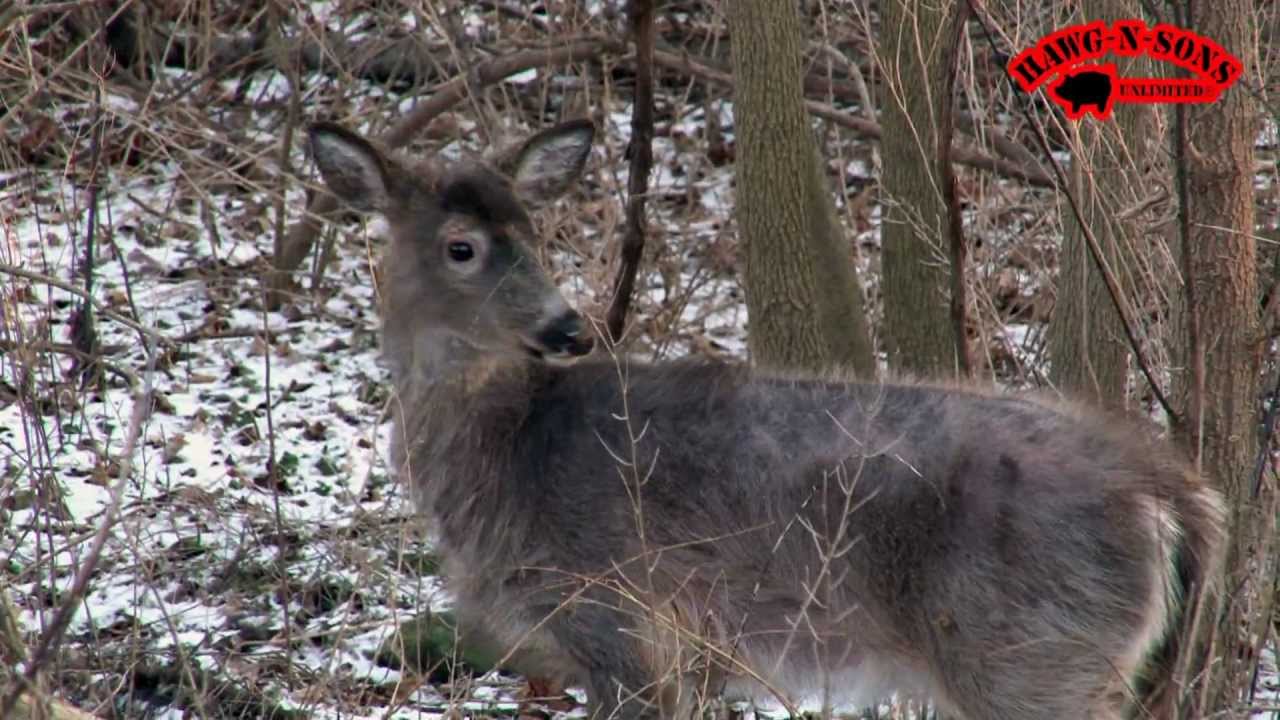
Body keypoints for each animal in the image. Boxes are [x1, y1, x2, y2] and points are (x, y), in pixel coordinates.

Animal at [304, 119, 1223, 717]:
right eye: (461, 245)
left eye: (535, 233)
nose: (568, 326)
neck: (508, 454)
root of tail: (1175, 497)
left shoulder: (617, 615)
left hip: (1028, 652)